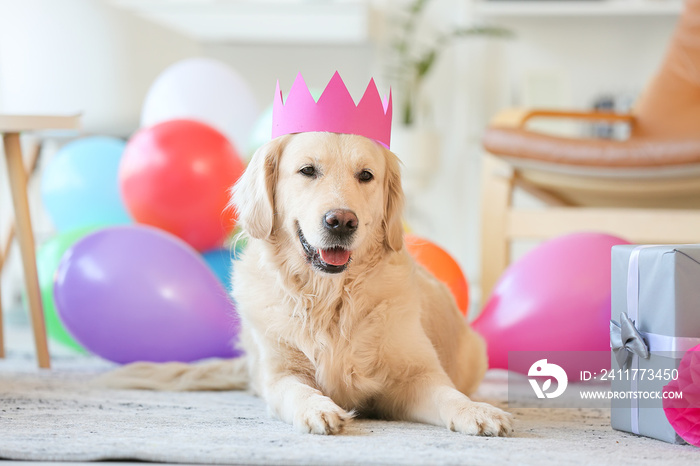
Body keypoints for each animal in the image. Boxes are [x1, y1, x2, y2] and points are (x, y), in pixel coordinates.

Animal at [101, 131, 512, 436]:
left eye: (366, 175)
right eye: (307, 170)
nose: (342, 221)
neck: (330, 298)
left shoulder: (413, 376)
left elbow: (448, 395)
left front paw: (478, 411)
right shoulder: (279, 372)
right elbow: (295, 389)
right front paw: (317, 408)